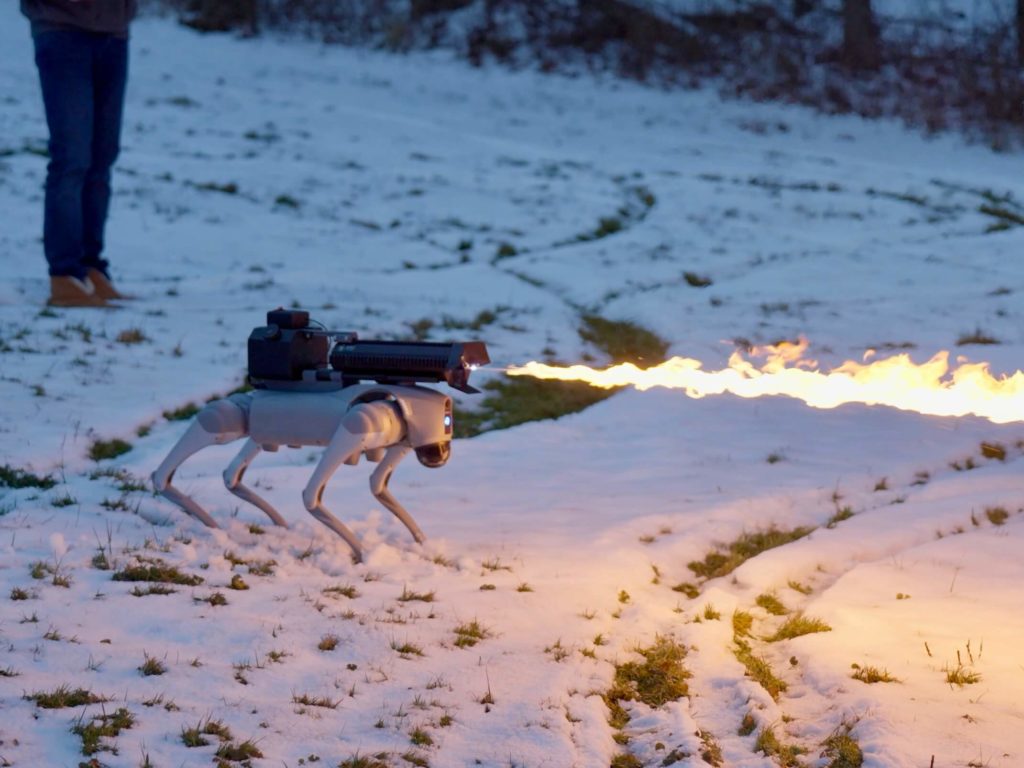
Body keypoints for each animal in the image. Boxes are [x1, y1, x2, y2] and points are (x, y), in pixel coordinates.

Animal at [150, 309, 487, 561]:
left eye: (447, 423)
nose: (440, 455)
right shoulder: (360, 421)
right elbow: (312, 495)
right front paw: (363, 554)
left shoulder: (401, 440)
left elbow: (377, 485)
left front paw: (421, 542)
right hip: (239, 415)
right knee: (199, 433)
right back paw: (211, 524)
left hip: (261, 425)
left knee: (231, 474)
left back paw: (273, 524)